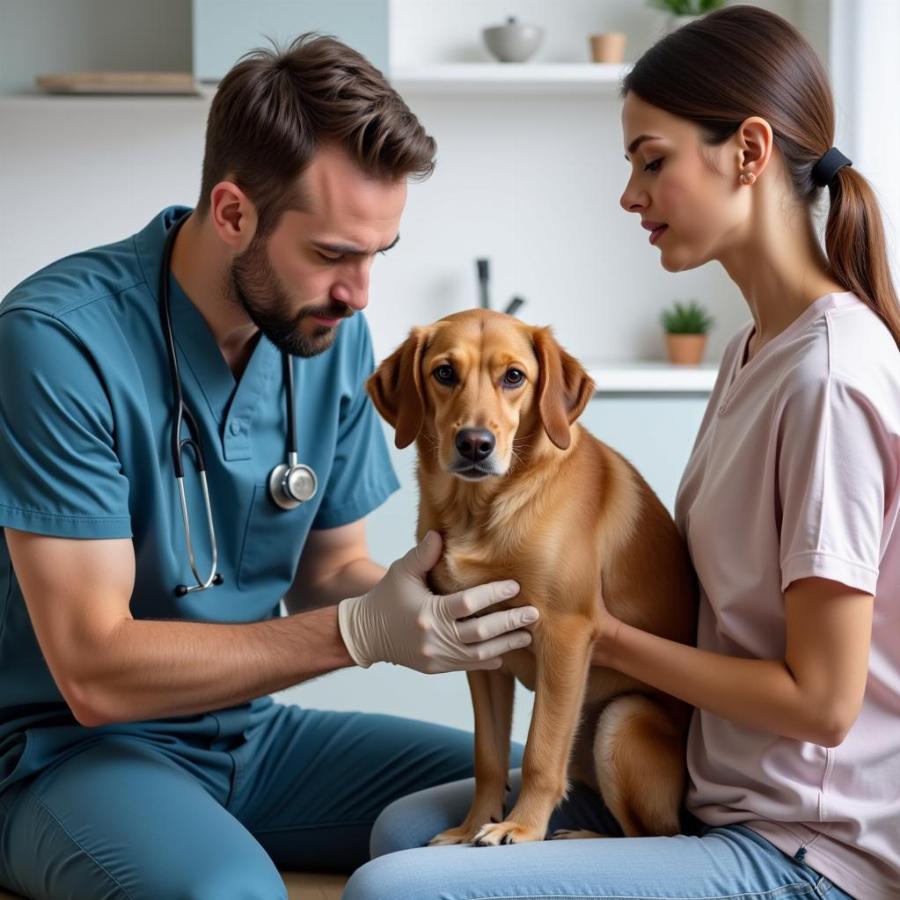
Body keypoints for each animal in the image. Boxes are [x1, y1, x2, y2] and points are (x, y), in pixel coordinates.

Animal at [364, 308, 696, 844]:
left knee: (660, 834)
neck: (482, 510)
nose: (474, 444)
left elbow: (541, 750)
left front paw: (520, 827)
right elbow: (489, 754)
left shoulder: (565, 635)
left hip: (622, 719)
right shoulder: (478, 649)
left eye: (514, 377)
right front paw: (472, 824)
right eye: (444, 372)